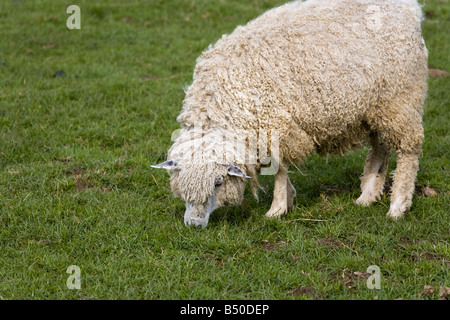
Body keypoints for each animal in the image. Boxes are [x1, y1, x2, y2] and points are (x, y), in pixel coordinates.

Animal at [152, 0, 428, 228]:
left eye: (218, 182)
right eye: (179, 182)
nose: (194, 224)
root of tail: (409, 8)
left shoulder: (278, 126)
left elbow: (280, 169)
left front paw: (277, 208)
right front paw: (289, 198)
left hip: (401, 97)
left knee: (409, 148)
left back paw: (398, 205)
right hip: (376, 107)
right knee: (381, 147)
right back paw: (368, 195)